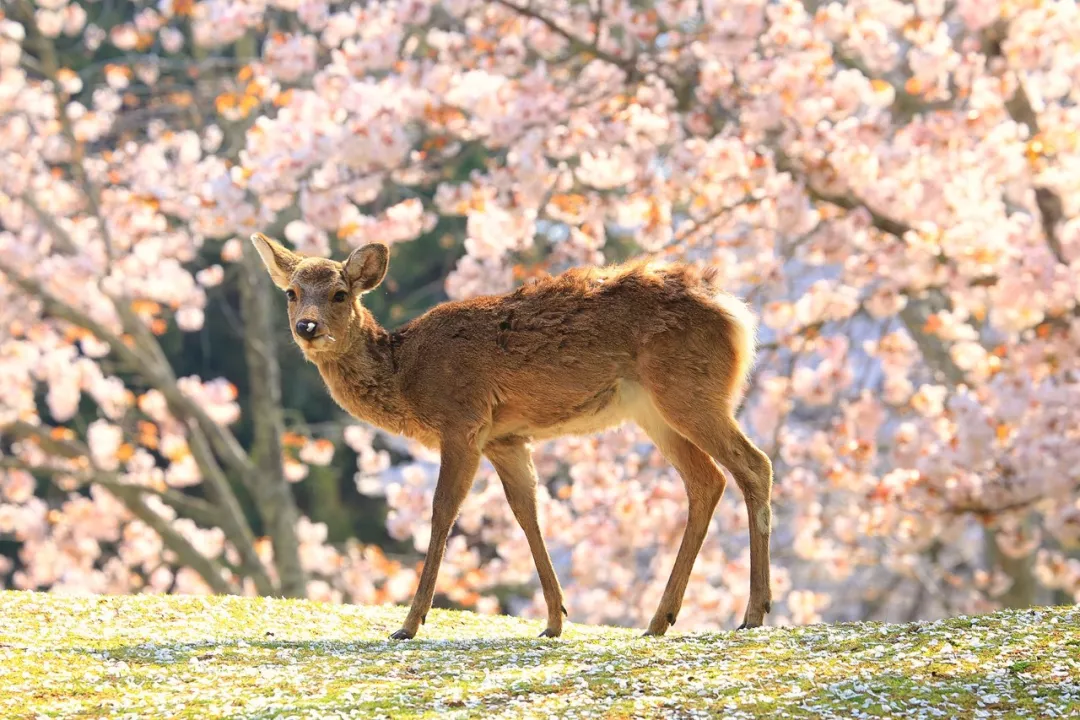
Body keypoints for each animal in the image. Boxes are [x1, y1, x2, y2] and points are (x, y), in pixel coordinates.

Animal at [250, 232, 777, 643]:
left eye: (340, 293)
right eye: (291, 292)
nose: (308, 327)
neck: (407, 378)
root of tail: (736, 314)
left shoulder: (463, 420)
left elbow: (442, 512)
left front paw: (409, 624)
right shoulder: (504, 439)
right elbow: (526, 512)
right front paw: (554, 620)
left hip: (689, 390)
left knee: (755, 464)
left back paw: (752, 613)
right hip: (654, 410)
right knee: (706, 481)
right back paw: (660, 618)